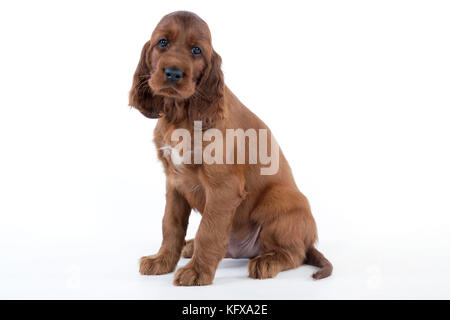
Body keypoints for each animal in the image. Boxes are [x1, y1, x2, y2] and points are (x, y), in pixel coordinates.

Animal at [128, 10, 332, 284]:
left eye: (196, 50)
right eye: (162, 42)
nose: (172, 73)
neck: (181, 115)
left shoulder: (223, 186)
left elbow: (209, 230)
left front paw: (197, 272)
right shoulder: (174, 182)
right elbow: (170, 224)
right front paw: (162, 261)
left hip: (280, 199)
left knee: (295, 253)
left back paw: (267, 262)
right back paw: (189, 247)